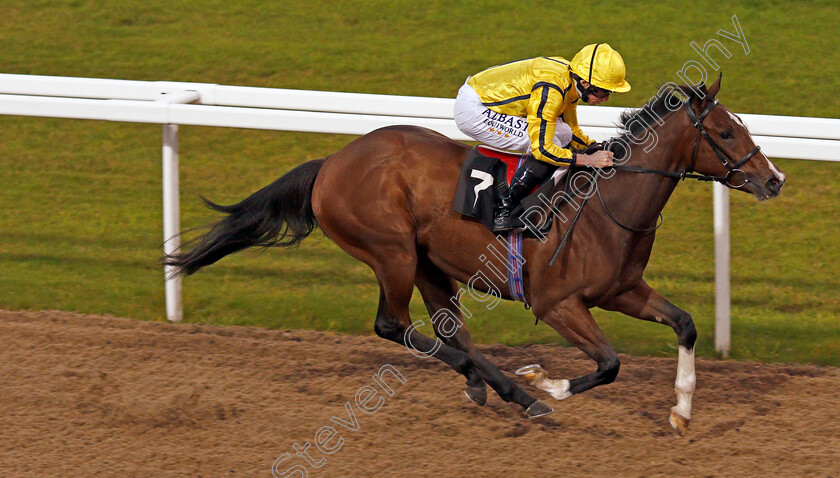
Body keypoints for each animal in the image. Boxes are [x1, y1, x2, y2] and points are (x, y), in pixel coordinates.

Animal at [166, 76, 788, 436]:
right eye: (726, 133)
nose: (774, 179)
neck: (604, 206)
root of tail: (332, 163)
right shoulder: (558, 303)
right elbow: (609, 364)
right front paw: (546, 383)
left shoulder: (622, 291)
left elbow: (684, 324)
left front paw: (681, 411)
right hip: (391, 251)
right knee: (394, 325)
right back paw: (523, 396)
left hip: (428, 262)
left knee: (450, 333)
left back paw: (492, 388)